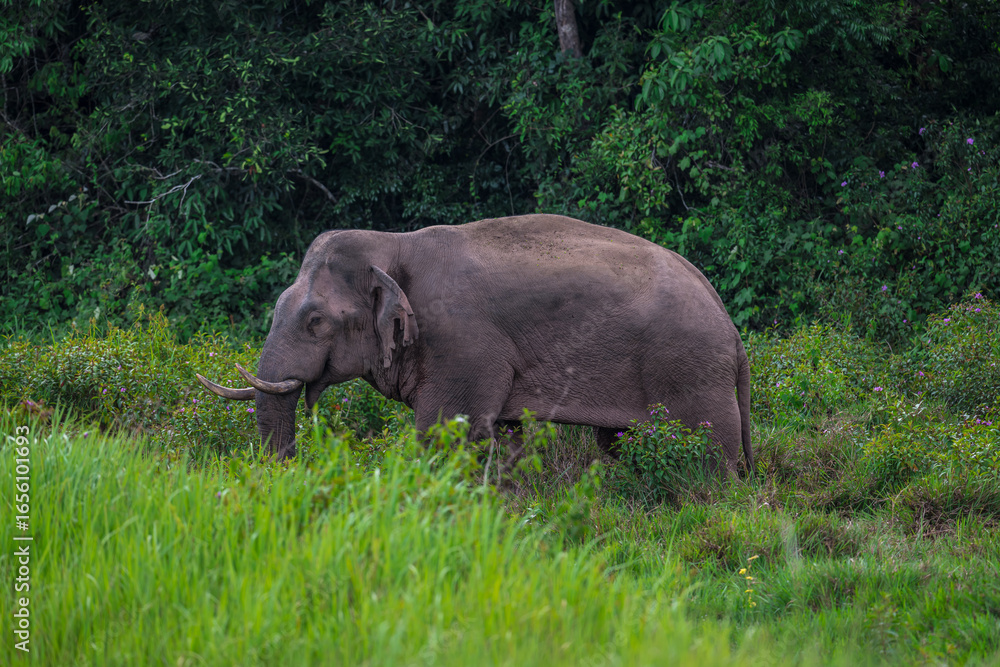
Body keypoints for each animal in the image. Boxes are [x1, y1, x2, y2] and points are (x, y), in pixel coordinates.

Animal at [197, 214, 752, 475]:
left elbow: (444, 432)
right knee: (617, 443)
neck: (394, 242)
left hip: (689, 369)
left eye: (315, 321)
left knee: (709, 452)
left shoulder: (461, 344)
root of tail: (733, 329)